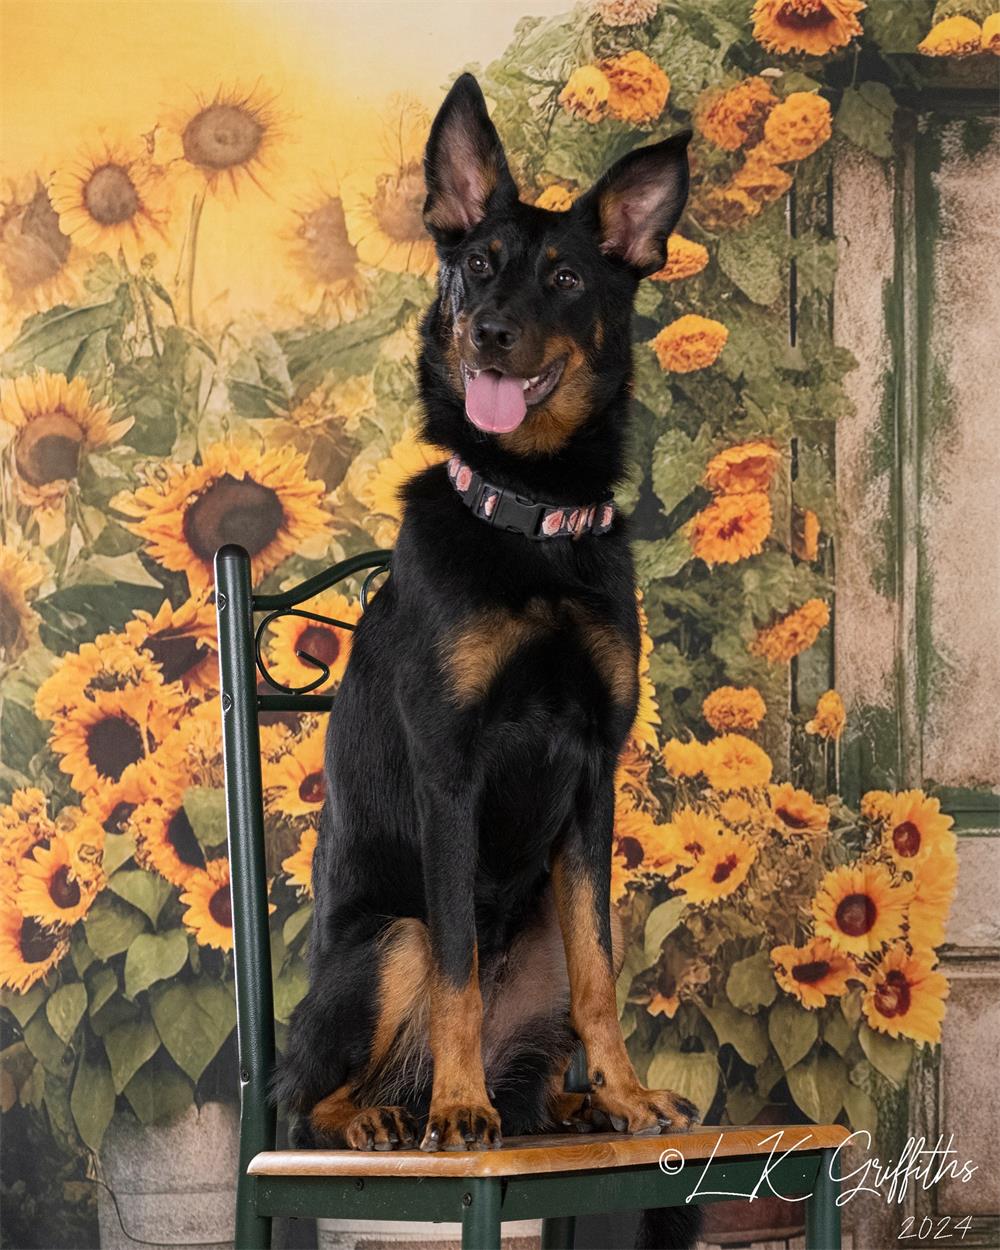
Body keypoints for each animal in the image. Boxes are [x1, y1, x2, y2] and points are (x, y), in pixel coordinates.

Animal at [275, 78, 705, 1250]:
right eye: (475, 263)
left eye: (564, 277)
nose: (488, 331)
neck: (533, 521)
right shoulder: (451, 771)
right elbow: (463, 968)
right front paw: (457, 1109)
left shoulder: (594, 774)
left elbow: (602, 973)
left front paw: (624, 1091)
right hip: (390, 941)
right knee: (309, 1093)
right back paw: (402, 1114)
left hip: (544, 930)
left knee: (549, 1038)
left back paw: (568, 1101)